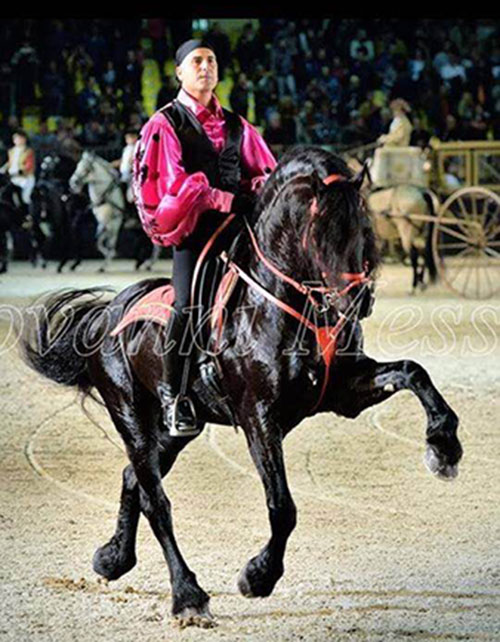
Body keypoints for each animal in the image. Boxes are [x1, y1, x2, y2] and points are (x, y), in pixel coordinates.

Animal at [348, 156, 438, 294]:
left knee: (414, 254)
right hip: (422, 232)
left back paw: (414, 285)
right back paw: (421, 283)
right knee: (425, 252)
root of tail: (422, 192)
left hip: (407, 232)